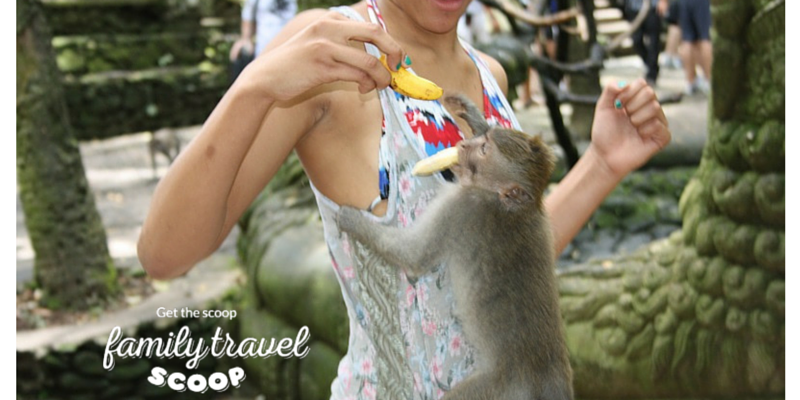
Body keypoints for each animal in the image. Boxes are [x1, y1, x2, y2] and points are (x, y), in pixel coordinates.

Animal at [338, 94, 576, 400]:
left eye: (484, 150)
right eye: (483, 140)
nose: (463, 145)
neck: (509, 205)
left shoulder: (462, 207)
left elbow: (414, 255)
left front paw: (351, 218)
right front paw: (473, 115)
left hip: (493, 387)